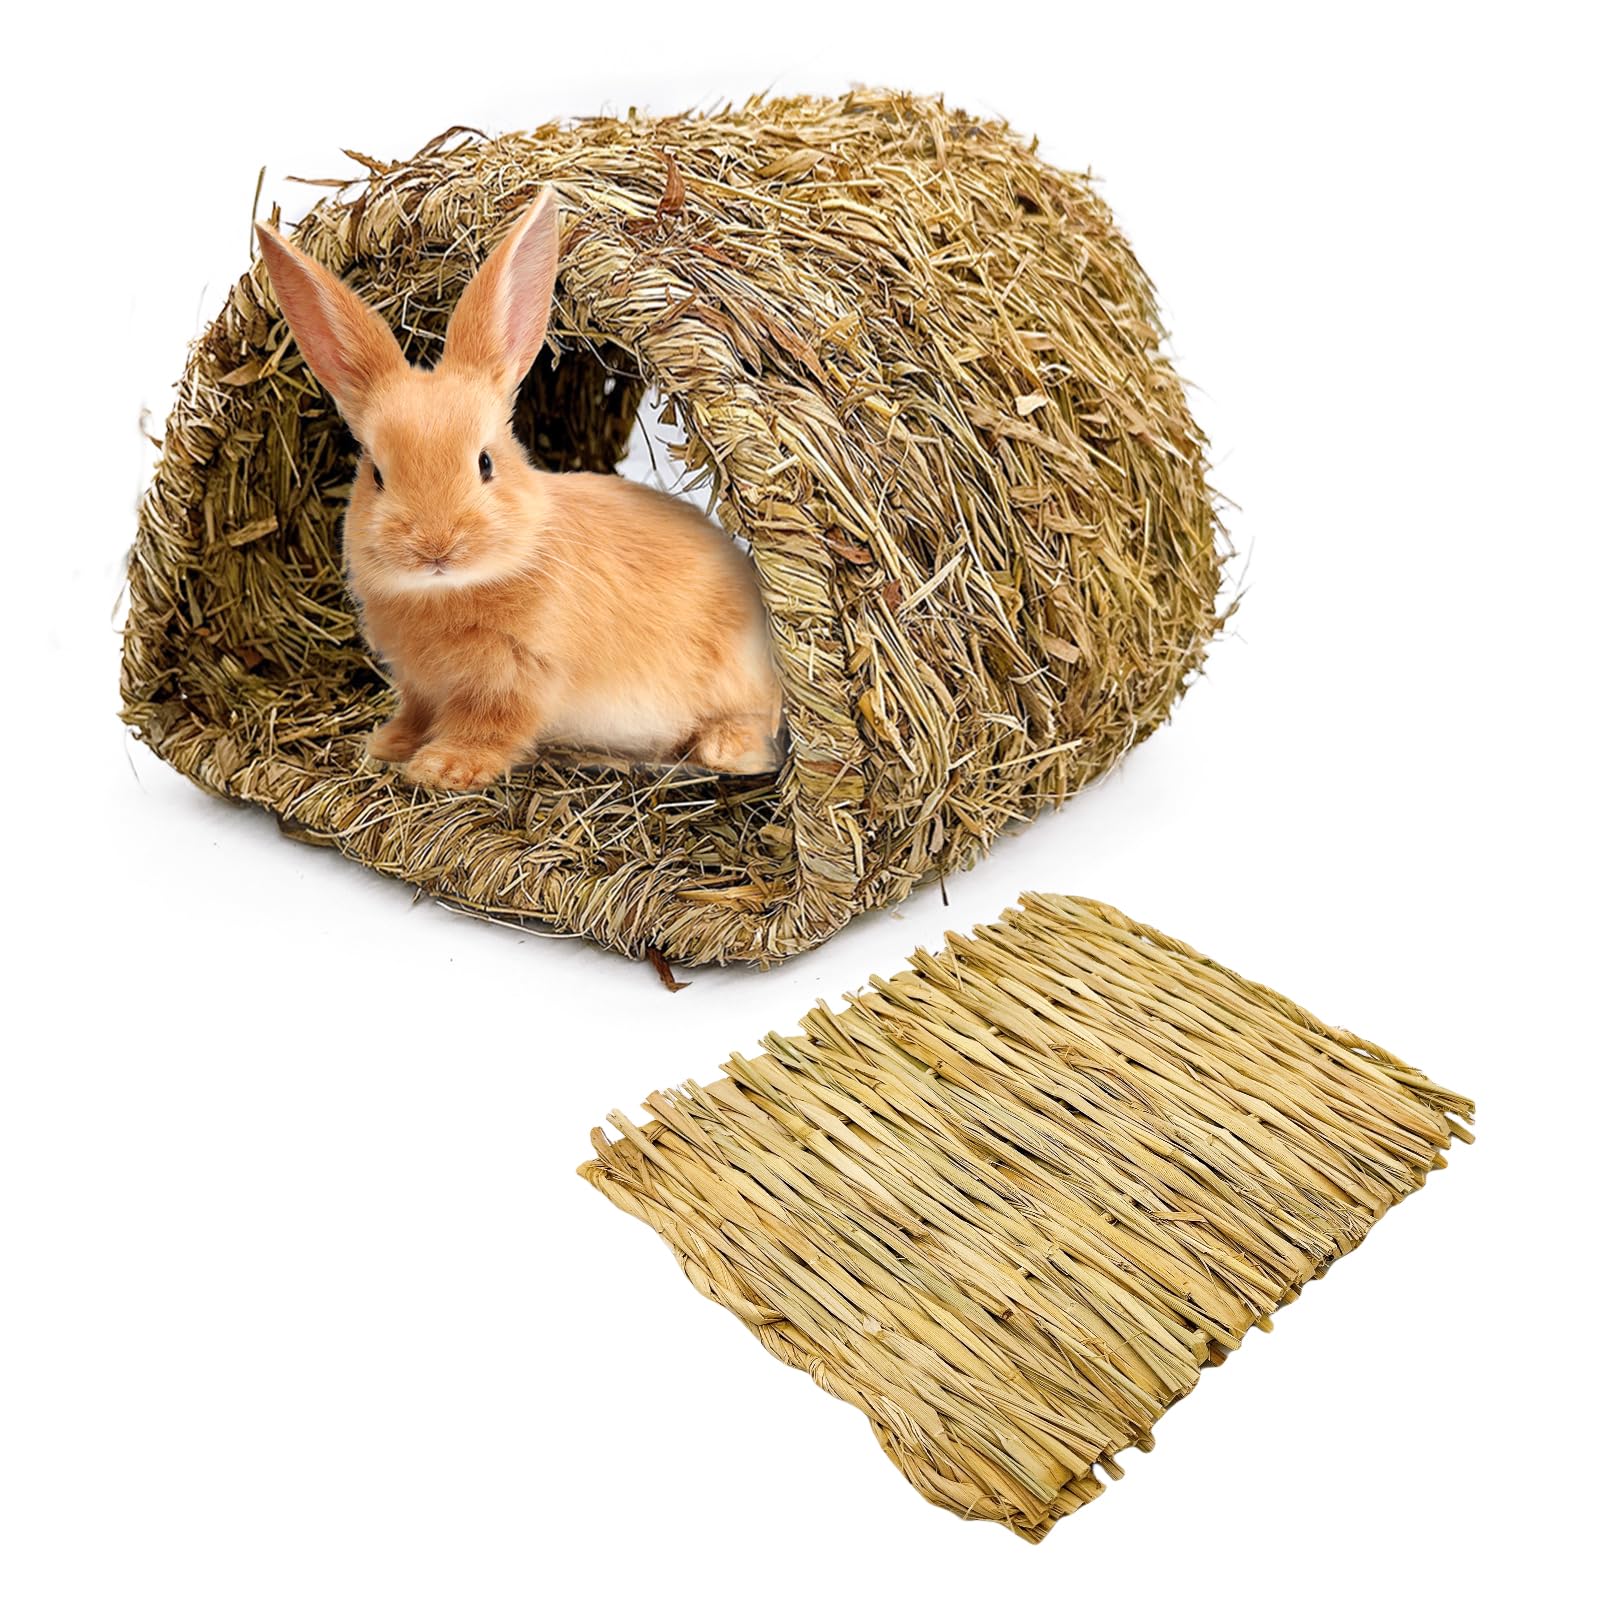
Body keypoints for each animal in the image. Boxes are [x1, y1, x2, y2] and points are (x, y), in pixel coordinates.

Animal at [253, 189, 784, 791]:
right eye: (377, 475)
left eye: (486, 463)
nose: (436, 546)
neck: (452, 588)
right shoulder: (419, 684)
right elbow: (417, 711)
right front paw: (389, 744)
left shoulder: (518, 676)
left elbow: (491, 725)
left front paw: (443, 767)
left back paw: (722, 750)